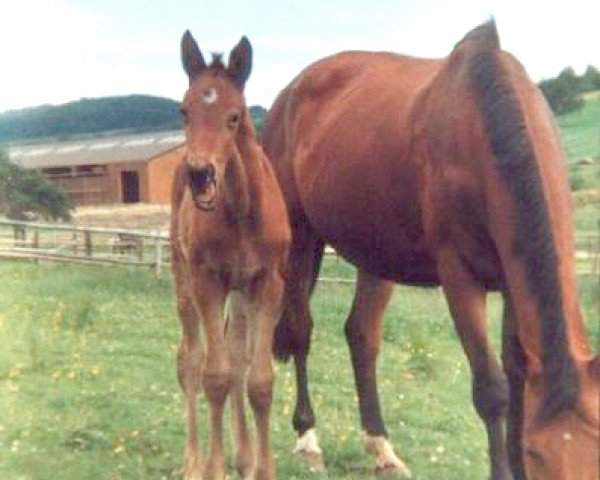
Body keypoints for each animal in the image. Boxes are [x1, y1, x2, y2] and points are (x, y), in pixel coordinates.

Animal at [170, 31, 290, 480]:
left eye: (234, 116)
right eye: (184, 110)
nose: (200, 174)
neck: (240, 209)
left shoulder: (268, 282)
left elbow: (259, 380)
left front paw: (263, 468)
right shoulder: (207, 281)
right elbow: (214, 376)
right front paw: (213, 467)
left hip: (240, 292)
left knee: (237, 355)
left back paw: (244, 455)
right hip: (184, 278)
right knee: (190, 359)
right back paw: (193, 460)